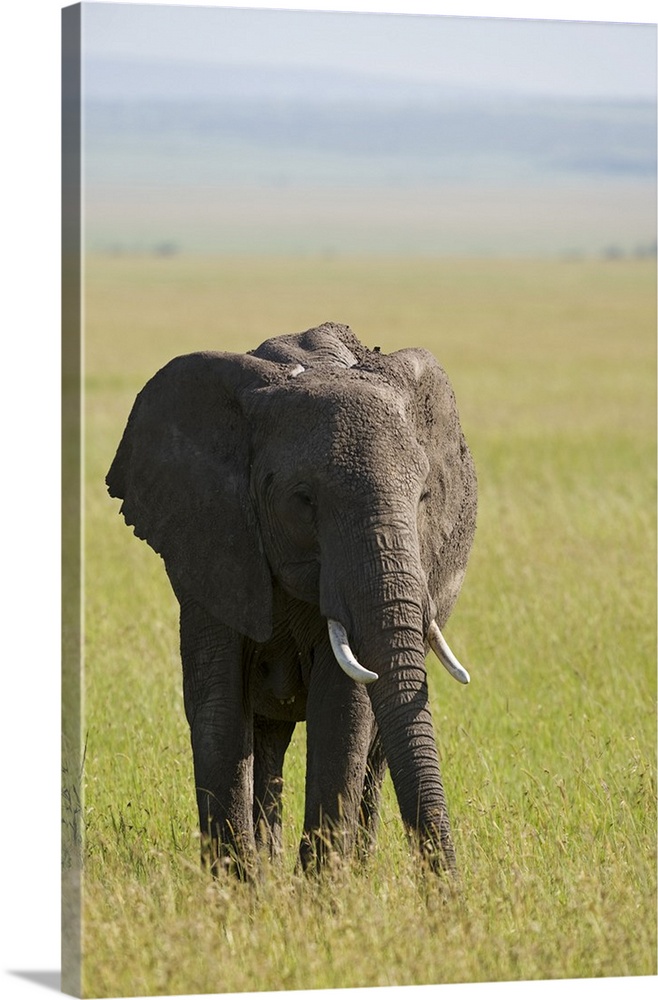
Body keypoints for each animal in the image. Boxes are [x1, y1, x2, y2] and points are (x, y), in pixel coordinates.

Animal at [107, 324, 476, 880]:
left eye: (424, 498)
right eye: (303, 500)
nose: (449, 894)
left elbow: (342, 708)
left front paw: (321, 891)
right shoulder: (210, 534)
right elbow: (216, 703)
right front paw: (235, 887)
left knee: (372, 748)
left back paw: (354, 868)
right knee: (269, 738)